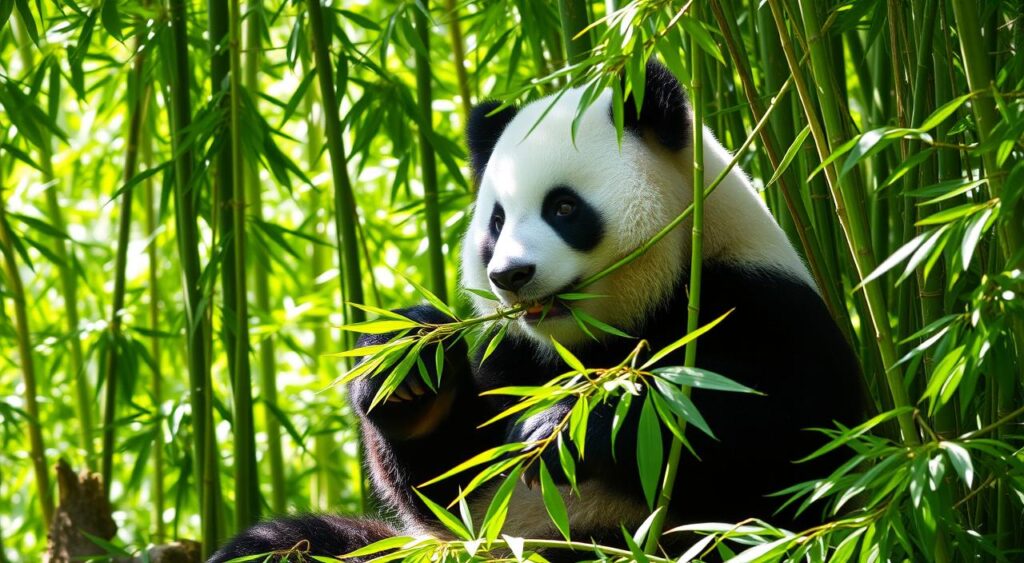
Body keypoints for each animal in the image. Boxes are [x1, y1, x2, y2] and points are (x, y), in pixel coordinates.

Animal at [209, 59, 864, 560]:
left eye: (563, 208)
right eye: (496, 221)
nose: (510, 276)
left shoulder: (762, 303)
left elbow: (780, 438)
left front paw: (564, 428)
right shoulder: (516, 354)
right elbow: (455, 480)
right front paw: (411, 372)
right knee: (293, 544)